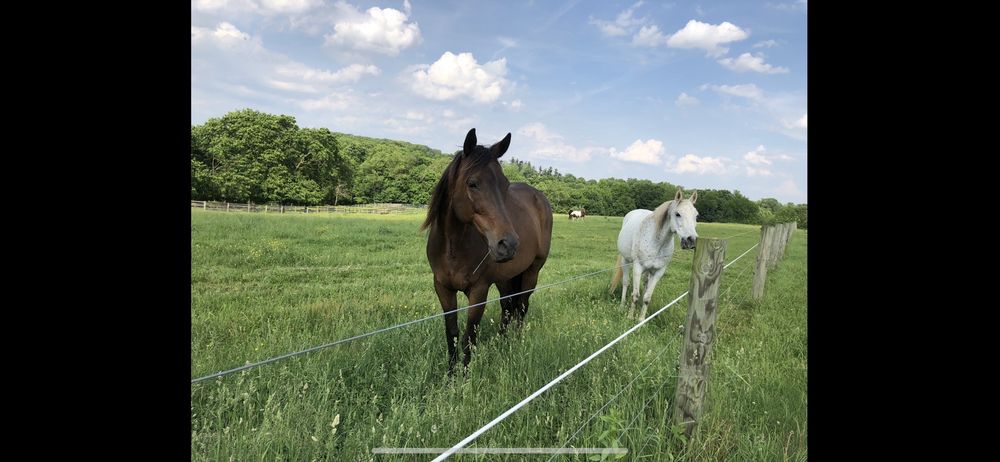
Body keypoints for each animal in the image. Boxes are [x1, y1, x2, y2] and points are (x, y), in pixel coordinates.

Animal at [420, 128, 553, 373]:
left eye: (505, 184)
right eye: (473, 183)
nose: (509, 244)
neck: (453, 247)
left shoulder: (479, 291)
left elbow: (469, 337)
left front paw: (464, 375)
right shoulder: (443, 288)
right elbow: (452, 334)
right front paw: (450, 374)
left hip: (532, 271)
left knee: (521, 306)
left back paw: (516, 343)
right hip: (505, 277)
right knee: (507, 307)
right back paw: (502, 343)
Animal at [610, 189, 699, 321]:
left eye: (696, 215)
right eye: (677, 214)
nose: (691, 240)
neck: (657, 242)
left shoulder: (658, 271)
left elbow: (647, 297)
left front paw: (641, 319)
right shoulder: (637, 267)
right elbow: (635, 295)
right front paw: (630, 317)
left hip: (648, 271)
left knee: (645, 285)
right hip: (625, 261)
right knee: (626, 283)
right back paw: (621, 306)